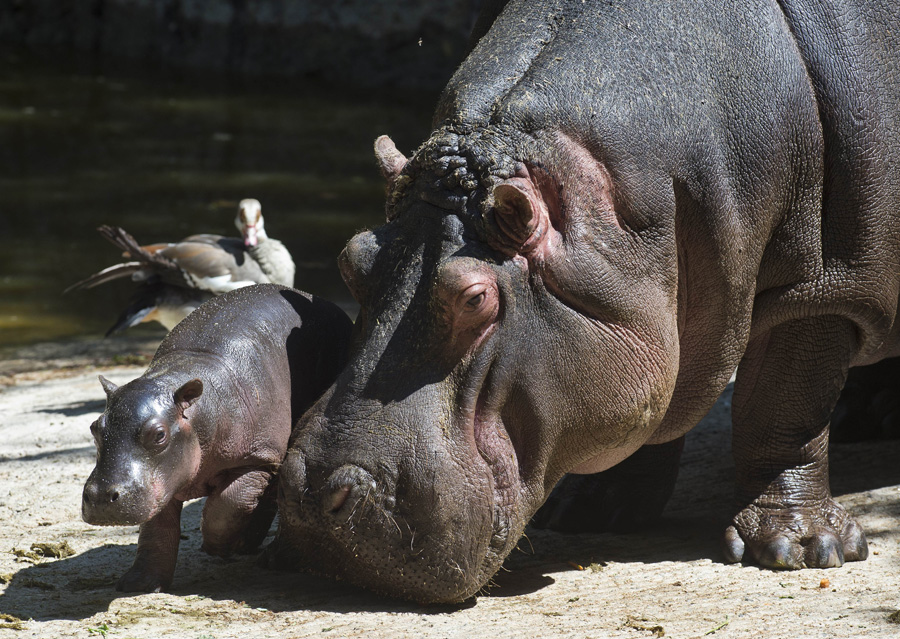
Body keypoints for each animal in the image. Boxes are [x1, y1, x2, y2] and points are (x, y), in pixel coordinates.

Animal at [81, 284, 352, 596]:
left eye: (159, 434)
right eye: (95, 427)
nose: (100, 496)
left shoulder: (258, 460)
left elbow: (225, 505)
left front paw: (217, 547)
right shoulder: (160, 484)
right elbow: (156, 531)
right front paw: (138, 584)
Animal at [268, 0, 900, 604]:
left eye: (475, 297)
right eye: (351, 259)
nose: (316, 491)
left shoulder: (823, 288)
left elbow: (783, 406)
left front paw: (801, 549)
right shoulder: (646, 307)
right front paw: (589, 509)